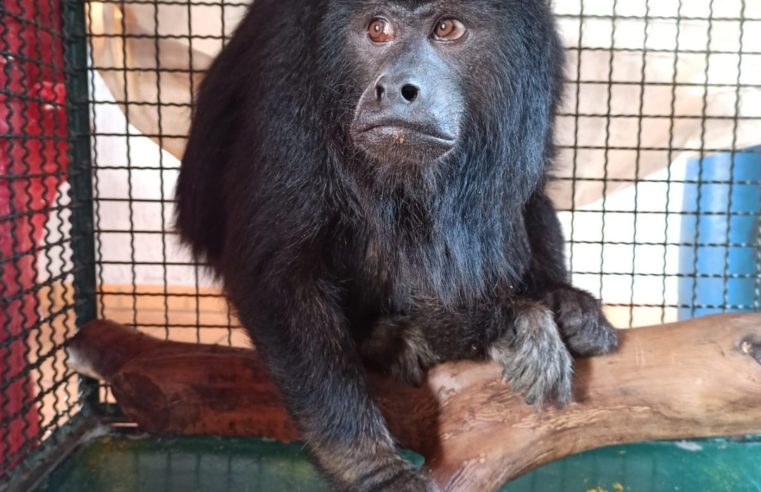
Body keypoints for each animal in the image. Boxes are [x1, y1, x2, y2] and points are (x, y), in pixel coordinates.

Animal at [175, 1, 619, 490]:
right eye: (377, 28)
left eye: (447, 27)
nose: (393, 87)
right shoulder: (287, 73)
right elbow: (277, 273)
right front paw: (375, 468)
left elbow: (526, 196)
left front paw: (557, 300)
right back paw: (389, 339)